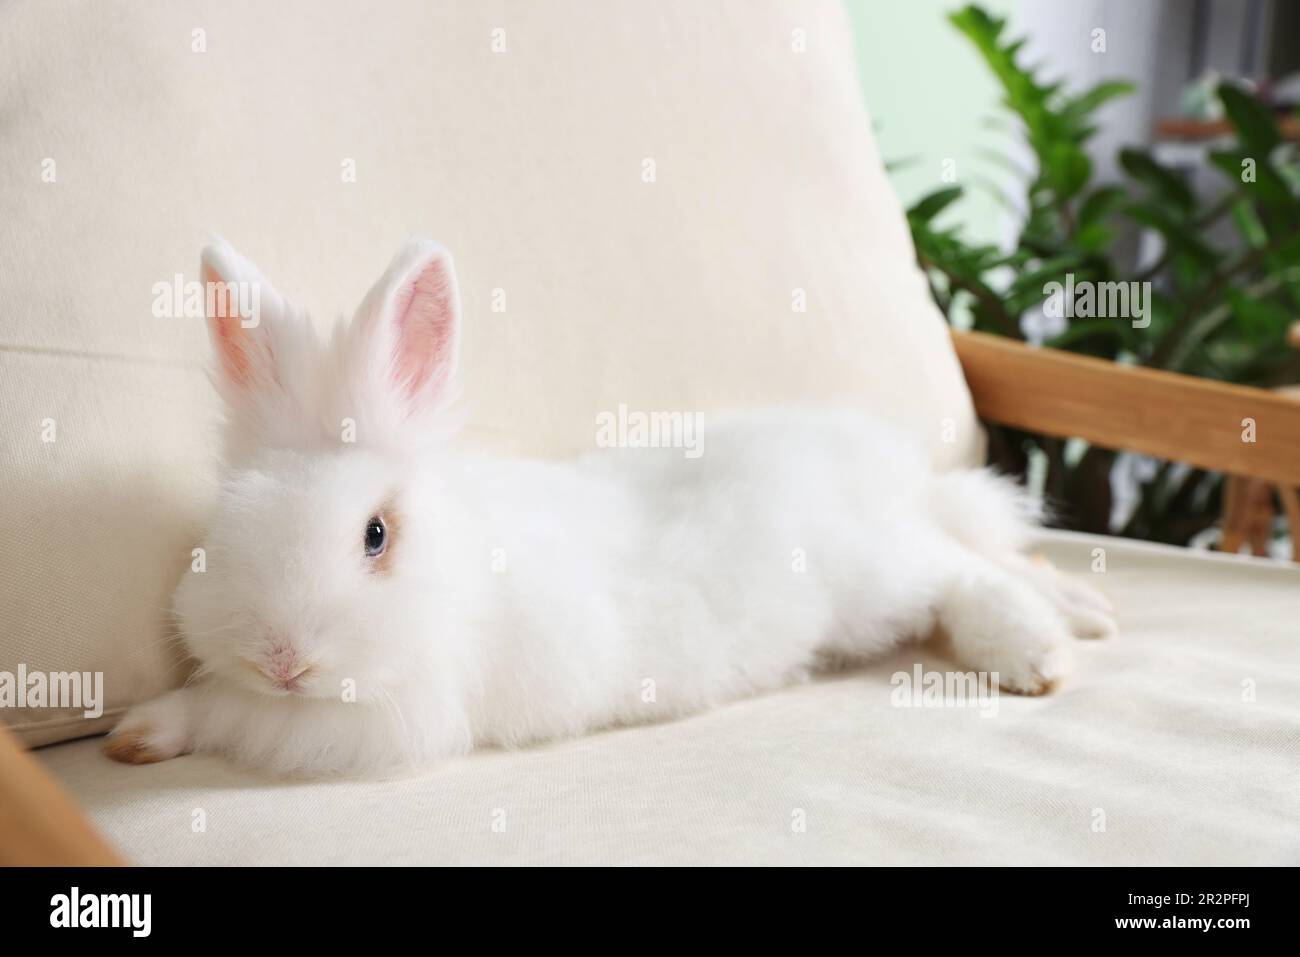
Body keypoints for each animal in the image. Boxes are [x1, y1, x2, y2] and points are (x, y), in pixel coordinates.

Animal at [105, 238, 1116, 775]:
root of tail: (888, 472)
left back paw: (1040, 656)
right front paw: (139, 732)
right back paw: (1088, 613)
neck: (460, 571)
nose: (282, 657)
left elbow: (241, 718)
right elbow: (217, 700)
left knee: (965, 572)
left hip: (876, 569)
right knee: (993, 550)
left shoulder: (381, 724)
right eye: (220, 531)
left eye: (376, 535)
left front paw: (143, 733)